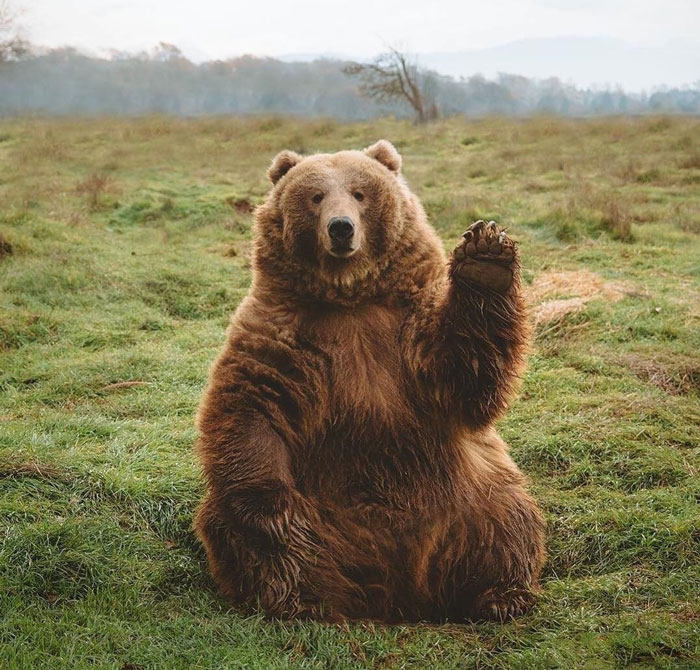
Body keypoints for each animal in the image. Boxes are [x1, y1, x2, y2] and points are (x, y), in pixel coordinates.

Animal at [194, 140, 546, 623]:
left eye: (360, 193)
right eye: (316, 196)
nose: (341, 228)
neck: (350, 297)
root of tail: (397, 590)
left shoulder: (409, 331)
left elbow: (466, 372)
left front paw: (485, 257)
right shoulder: (281, 333)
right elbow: (250, 405)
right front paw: (272, 510)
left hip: (466, 496)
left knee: (504, 519)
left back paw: (499, 595)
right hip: (326, 514)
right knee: (252, 540)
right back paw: (303, 600)